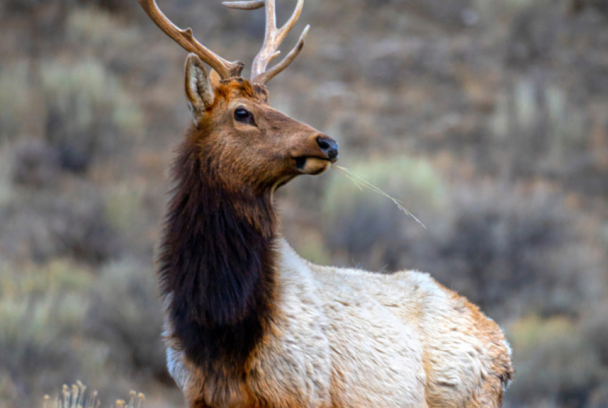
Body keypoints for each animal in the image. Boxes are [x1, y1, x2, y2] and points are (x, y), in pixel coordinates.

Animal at [138, 0, 512, 406]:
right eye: (241, 112)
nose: (327, 143)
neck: (221, 329)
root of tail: (502, 346)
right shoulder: (195, 392)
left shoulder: (301, 391)